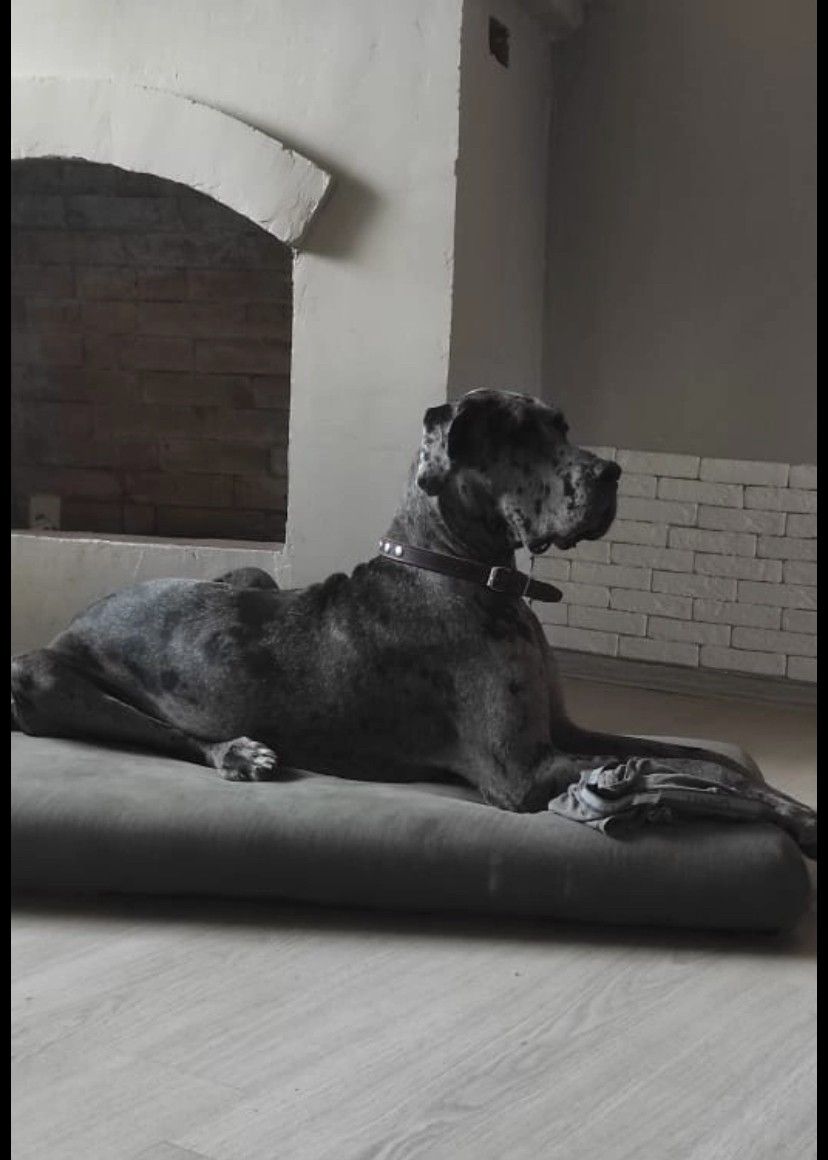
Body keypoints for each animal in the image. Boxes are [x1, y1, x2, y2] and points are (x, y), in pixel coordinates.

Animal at [9, 389, 817, 850]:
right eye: (521, 437)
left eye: (563, 427)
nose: (611, 473)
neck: (461, 569)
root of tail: (85, 610)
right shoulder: (524, 772)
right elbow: (683, 769)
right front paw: (793, 815)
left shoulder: (569, 731)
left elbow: (693, 756)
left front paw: (772, 794)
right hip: (39, 674)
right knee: (175, 735)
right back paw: (239, 751)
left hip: (248, 574)